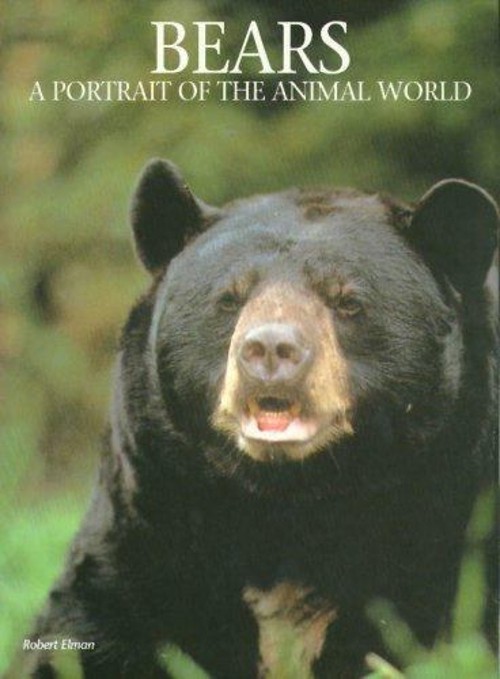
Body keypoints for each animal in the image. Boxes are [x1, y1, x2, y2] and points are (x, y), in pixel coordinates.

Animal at [21, 159, 498, 679]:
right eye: (229, 298)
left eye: (347, 300)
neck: (285, 506)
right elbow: (82, 634)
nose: (270, 348)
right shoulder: (145, 528)